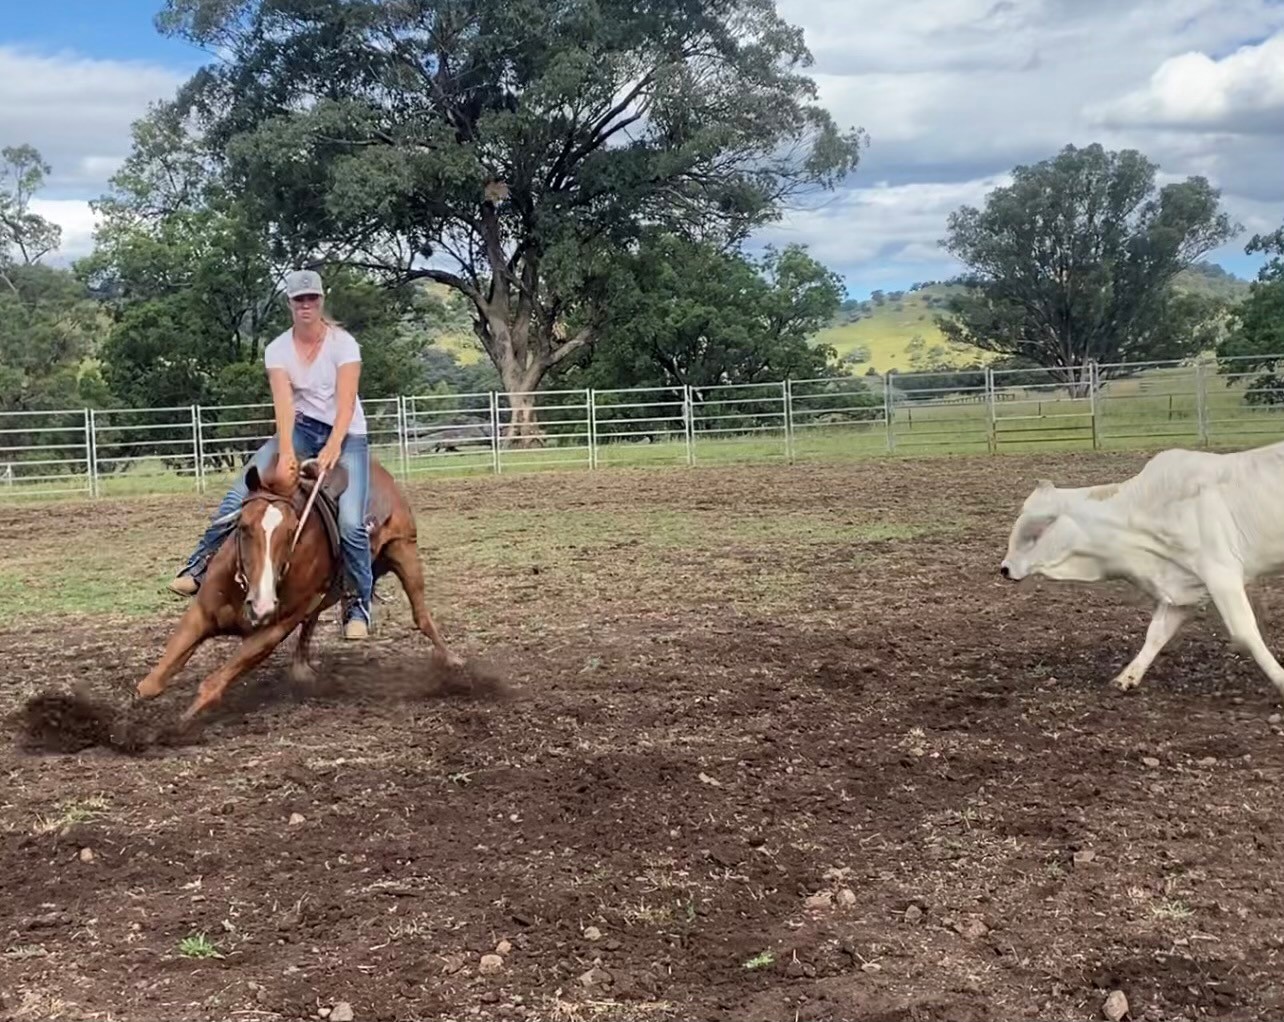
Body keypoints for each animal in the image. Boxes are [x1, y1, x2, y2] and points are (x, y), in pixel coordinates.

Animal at [135, 454, 463, 724]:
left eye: (292, 531)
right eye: (243, 527)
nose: (262, 605)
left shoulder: (271, 632)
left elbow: (212, 686)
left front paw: (172, 728)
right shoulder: (201, 613)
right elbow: (150, 685)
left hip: (404, 552)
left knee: (421, 615)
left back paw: (452, 661)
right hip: (327, 591)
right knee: (312, 619)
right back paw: (302, 667)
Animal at [999, 440, 1284, 701]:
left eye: (1037, 529)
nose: (1004, 568)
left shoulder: (1221, 573)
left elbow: (1245, 630)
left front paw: (1281, 680)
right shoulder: (1185, 585)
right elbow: (1156, 633)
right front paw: (1126, 677)